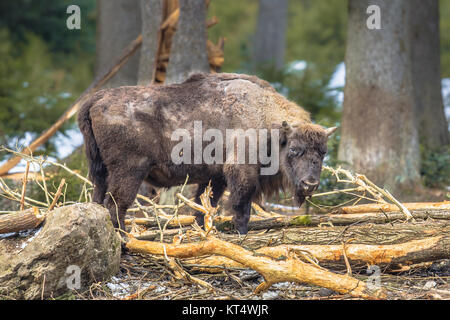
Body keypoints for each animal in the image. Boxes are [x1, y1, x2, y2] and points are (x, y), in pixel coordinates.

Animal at [78, 74, 338, 236]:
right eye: (294, 150)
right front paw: (241, 234)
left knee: (99, 199)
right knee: (116, 203)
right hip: (129, 171)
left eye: (323, 152)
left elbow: (203, 208)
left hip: (100, 172)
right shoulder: (241, 173)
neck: (265, 118)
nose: (310, 184)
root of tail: (96, 99)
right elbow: (241, 208)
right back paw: (124, 237)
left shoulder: (215, 178)